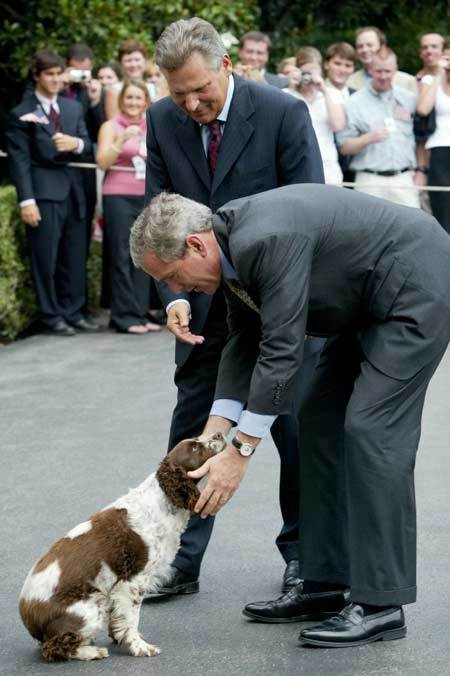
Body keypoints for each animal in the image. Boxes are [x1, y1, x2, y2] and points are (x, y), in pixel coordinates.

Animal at [19, 432, 226, 661]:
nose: (219, 434)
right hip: (92, 603)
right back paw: (92, 651)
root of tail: (28, 617)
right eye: (195, 448)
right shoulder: (134, 581)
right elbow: (131, 619)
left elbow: (120, 619)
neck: (163, 499)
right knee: (53, 647)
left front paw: (122, 638)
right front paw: (140, 647)